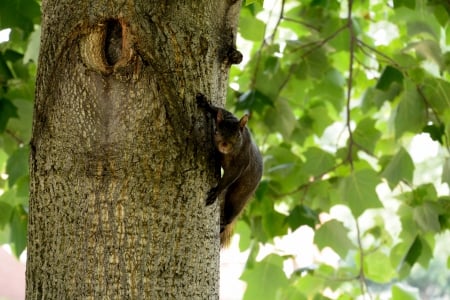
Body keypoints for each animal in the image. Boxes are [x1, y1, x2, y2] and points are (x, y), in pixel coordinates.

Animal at [197, 93, 264, 246]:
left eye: (237, 135)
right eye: (217, 131)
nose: (224, 144)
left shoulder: (241, 163)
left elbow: (229, 176)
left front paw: (216, 191)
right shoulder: (228, 115)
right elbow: (219, 110)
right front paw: (205, 104)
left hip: (240, 195)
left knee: (230, 213)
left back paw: (222, 225)